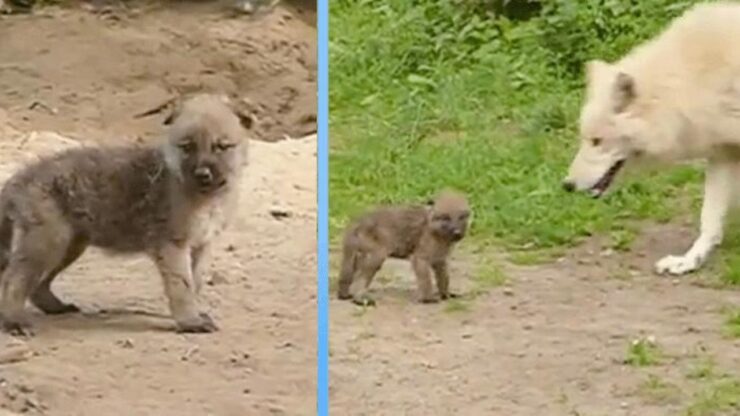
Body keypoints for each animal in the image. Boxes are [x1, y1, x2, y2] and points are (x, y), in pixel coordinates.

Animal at [564, 3, 740, 278]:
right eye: (585, 138)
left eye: (597, 141)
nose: (567, 185)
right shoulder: (723, 152)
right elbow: (709, 219)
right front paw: (687, 261)